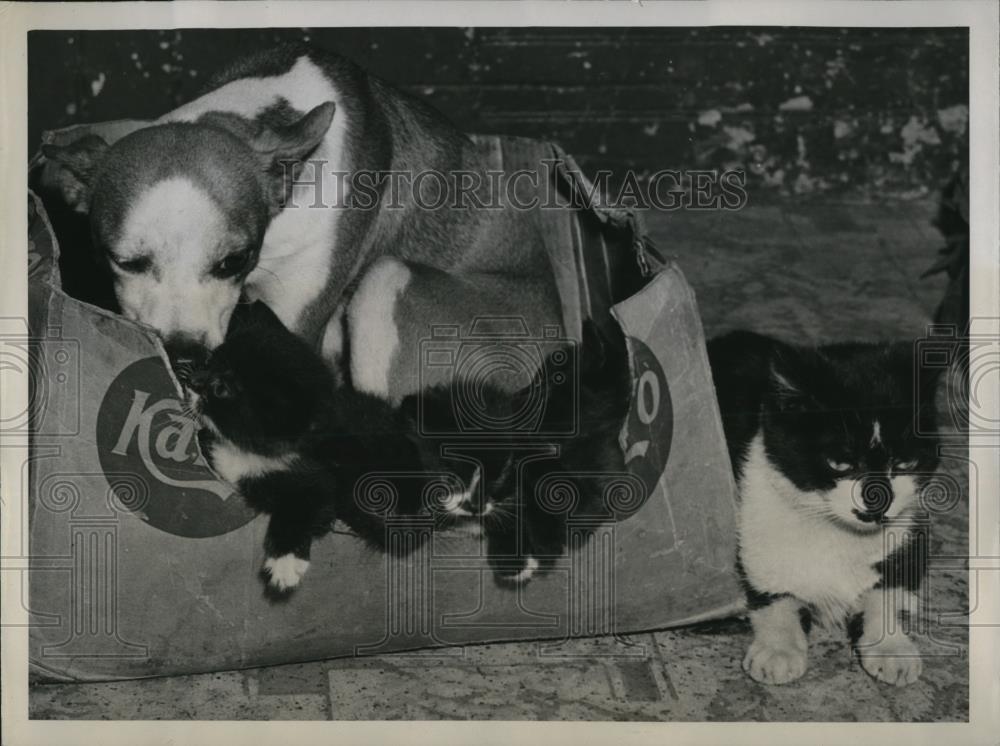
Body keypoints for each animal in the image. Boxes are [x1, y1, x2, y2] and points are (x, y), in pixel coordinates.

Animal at [186, 300, 632, 596]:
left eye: (222, 388)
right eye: (211, 365)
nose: (192, 380)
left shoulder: (319, 482)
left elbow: (304, 507)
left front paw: (284, 566)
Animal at [708, 330, 940, 684]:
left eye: (904, 463)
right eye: (839, 464)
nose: (878, 502)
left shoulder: (909, 530)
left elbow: (885, 587)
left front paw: (891, 646)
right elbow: (769, 587)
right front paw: (778, 650)